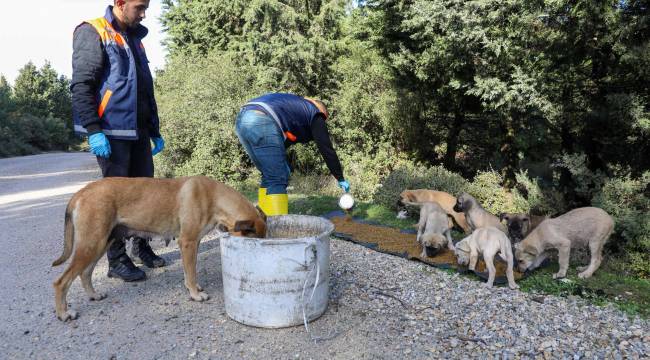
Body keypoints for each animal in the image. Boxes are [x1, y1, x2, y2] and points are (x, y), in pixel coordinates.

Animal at [51, 176, 266, 322]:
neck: (214, 197)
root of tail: (81, 192)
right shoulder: (187, 242)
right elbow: (191, 272)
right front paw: (195, 294)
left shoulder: (193, 243)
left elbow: (189, 272)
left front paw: (192, 288)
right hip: (91, 245)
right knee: (61, 282)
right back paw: (64, 313)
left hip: (100, 244)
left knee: (85, 273)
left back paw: (94, 295)